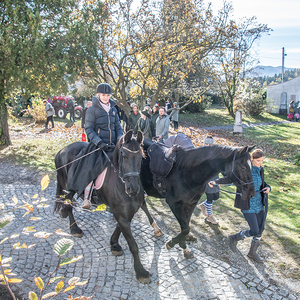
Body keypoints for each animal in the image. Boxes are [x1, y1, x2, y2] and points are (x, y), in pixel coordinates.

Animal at [54, 130, 151, 282]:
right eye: (124, 155)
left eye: (141, 157)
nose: (133, 189)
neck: (121, 182)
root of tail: (62, 150)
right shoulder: (122, 216)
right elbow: (133, 245)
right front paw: (141, 272)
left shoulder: (125, 214)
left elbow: (119, 228)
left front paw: (114, 244)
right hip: (68, 188)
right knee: (68, 204)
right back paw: (75, 229)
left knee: (65, 202)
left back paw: (64, 214)